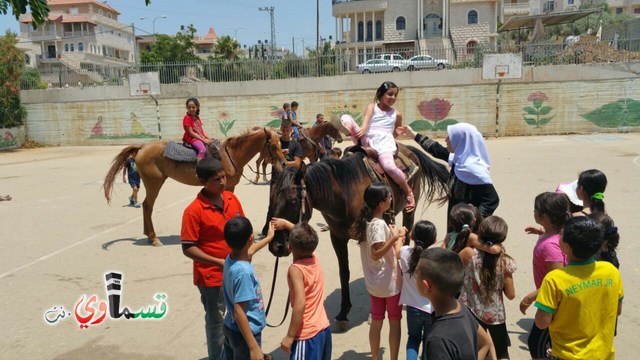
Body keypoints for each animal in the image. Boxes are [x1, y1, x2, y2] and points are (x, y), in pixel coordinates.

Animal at [103, 127, 284, 248]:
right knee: (148, 206)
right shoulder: (227, 186)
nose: (283, 163)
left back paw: (148, 235)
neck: (231, 154)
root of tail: (142, 147)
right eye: (273, 145)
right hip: (154, 183)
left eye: (280, 143)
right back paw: (154, 238)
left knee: (147, 206)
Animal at [268, 144, 448, 326]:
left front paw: (373, 311)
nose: (276, 246)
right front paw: (343, 312)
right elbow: (344, 272)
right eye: (272, 199)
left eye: (292, 200)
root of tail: (408, 149)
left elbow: (374, 270)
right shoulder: (337, 237)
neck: (343, 195)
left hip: (409, 209)